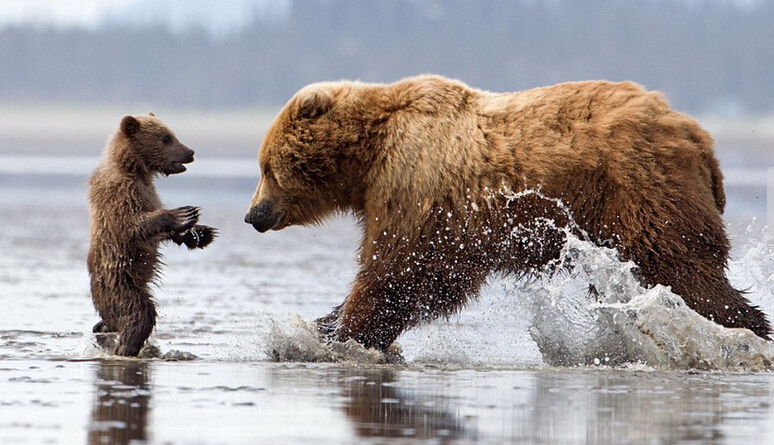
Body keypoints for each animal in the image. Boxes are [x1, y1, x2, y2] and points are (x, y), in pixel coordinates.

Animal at [244, 74, 768, 348]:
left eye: (267, 166)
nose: (253, 215)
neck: (368, 159)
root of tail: (698, 137)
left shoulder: (418, 188)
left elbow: (401, 272)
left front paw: (334, 331)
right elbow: (428, 280)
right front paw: (324, 325)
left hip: (639, 189)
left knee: (681, 265)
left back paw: (743, 325)